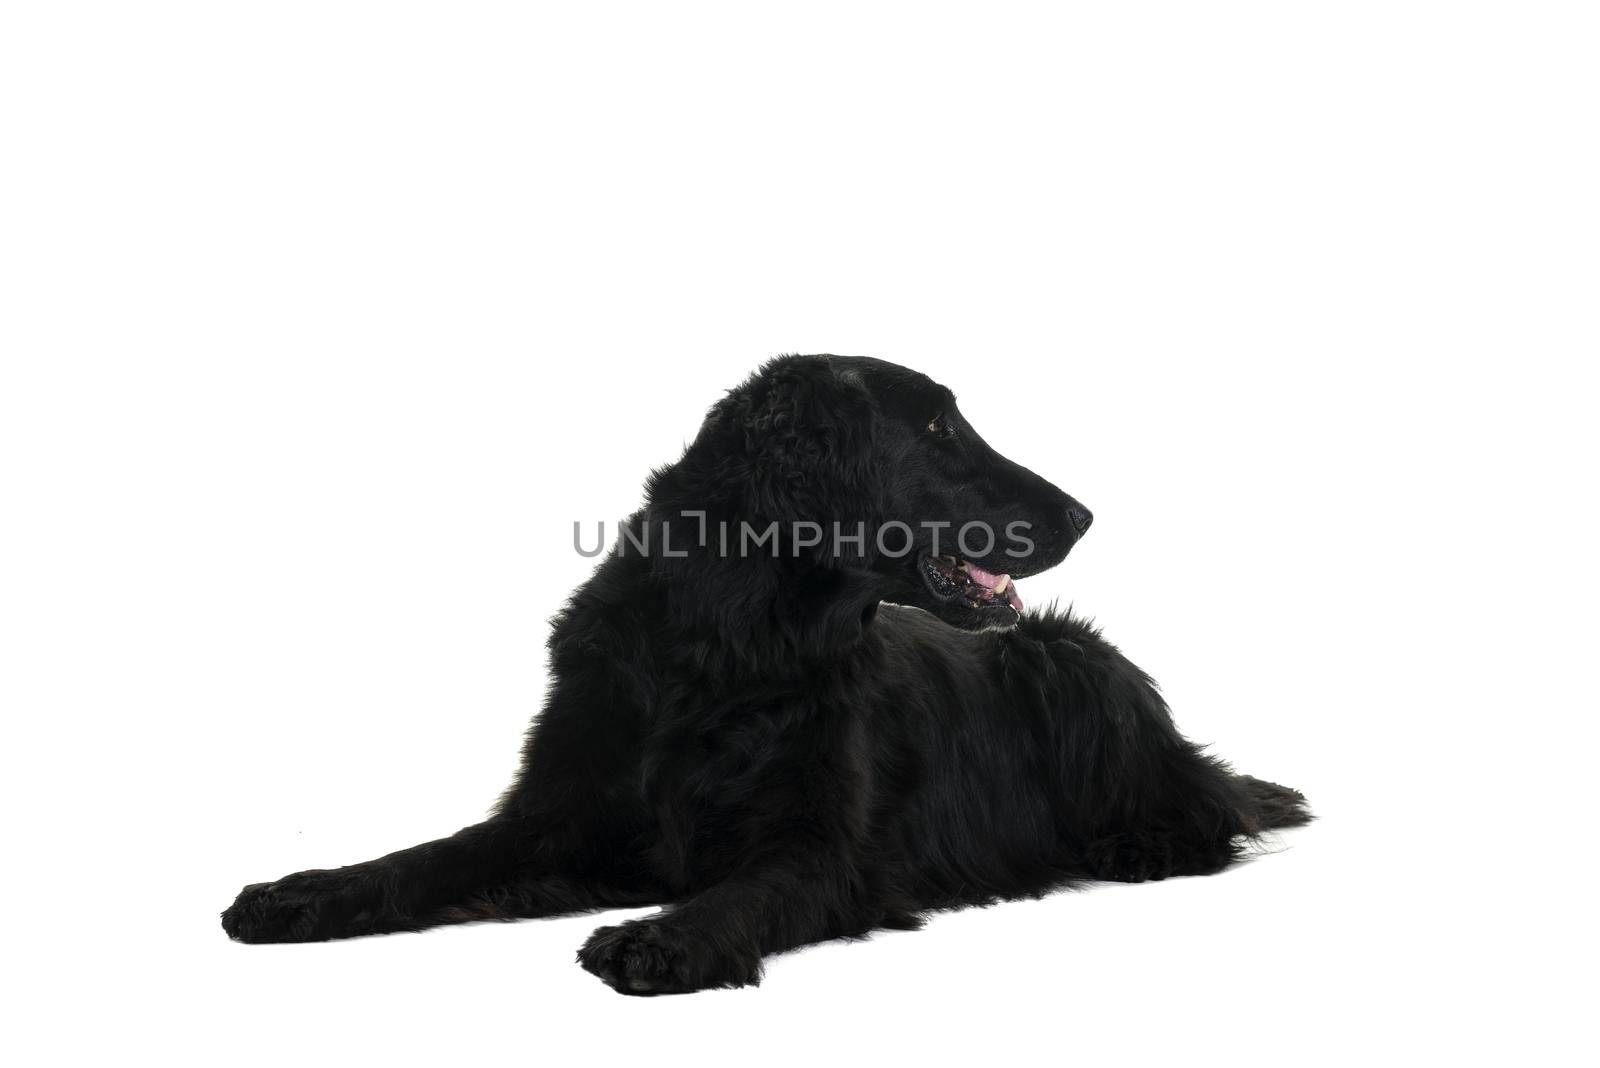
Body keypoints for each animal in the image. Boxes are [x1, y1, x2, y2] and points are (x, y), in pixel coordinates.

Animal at [225, 356, 1305, 991]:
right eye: (936, 429)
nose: (1084, 515)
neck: (727, 640)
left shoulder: (823, 849)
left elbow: (743, 892)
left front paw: (659, 937)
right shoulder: (558, 815)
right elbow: (422, 860)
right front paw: (298, 894)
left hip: (1064, 653)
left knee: (1215, 804)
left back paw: (1142, 842)